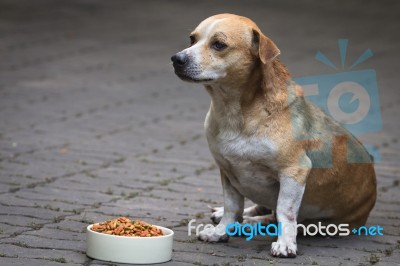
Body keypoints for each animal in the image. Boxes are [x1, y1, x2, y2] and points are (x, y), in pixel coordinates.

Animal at [170, 14, 376, 258]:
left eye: (218, 44)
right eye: (192, 39)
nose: (177, 59)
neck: (234, 112)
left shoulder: (293, 171)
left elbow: (285, 212)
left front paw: (285, 243)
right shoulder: (227, 171)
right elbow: (232, 207)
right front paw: (221, 231)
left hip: (323, 223)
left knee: (278, 218)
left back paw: (252, 224)